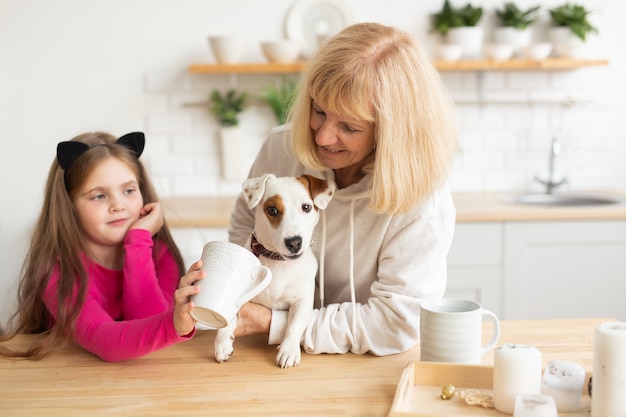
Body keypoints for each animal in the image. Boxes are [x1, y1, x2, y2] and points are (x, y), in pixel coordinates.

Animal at [213, 172, 334, 368]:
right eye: (272, 210)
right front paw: (222, 342)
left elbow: (294, 325)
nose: (294, 242)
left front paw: (288, 350)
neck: (278, 262)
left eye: (306, 207)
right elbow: (227, 317)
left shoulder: (302, 302)